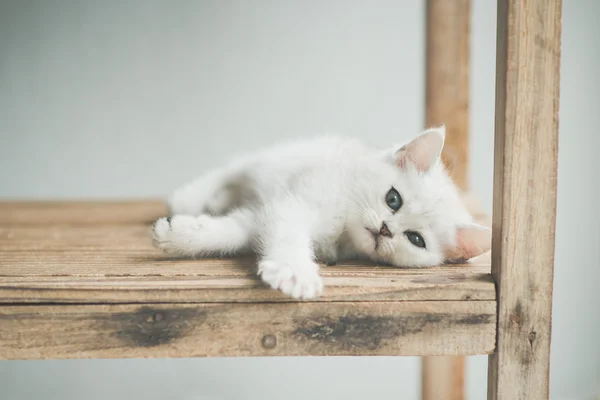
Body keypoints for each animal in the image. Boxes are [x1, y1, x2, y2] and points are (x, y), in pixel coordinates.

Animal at [151, 126, 492, 298]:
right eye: (393, 199)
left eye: (415, 239)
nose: (385, 229)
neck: (344, 230)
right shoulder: (295, 203)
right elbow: (287, 237)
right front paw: (295, 272)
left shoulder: (266, 211)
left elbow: (235, 231)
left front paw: (178, 235)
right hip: (272, 158)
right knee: (233, 167)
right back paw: (191, 196)